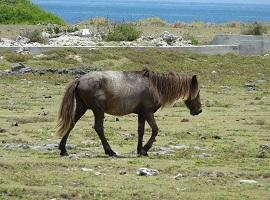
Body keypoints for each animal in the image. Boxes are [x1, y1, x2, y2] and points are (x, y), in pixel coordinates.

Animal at [57, 69, 202, 157]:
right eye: (197, 91)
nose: (199, 110)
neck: (154, 86)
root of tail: (79, 80)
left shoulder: (141, 114)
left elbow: (141, 131)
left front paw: (140, 150)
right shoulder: (148, 112)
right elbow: (155, 130)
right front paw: (145, 149)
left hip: (82, 108)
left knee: (71, 124)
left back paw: (63, 149)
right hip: (98, 110)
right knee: (98, 128)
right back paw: (110, 151)